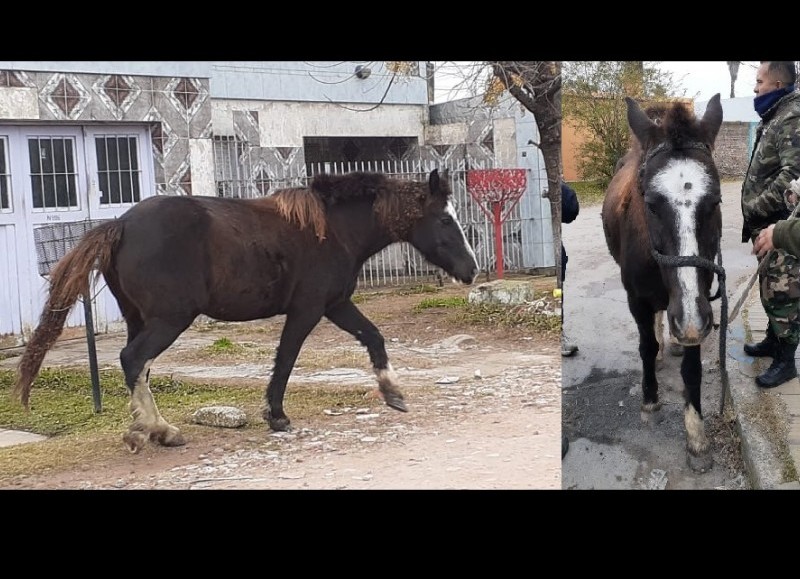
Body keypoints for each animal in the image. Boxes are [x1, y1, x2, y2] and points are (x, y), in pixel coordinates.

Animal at [15, 170, 478, 456]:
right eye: (444, 220)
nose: (472, 270)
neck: (332, 230)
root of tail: (122, 224)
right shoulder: (308, 309)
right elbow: (286, 359)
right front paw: (276, 416)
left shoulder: (336, 305)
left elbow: (374, 337)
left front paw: (393, 393)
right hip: (168, 320)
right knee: (133, 360)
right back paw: (154, 430)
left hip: (140, 318)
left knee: (139, 366)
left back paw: (154, 429)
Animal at [600, 94, 724, 472]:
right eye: (651, 204)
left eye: (715, 201)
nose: (688, 324)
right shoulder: (637, 300)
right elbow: (645, 346)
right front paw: (650, 402)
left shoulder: (698, 307)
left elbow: (693, 370)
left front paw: (697, 438)